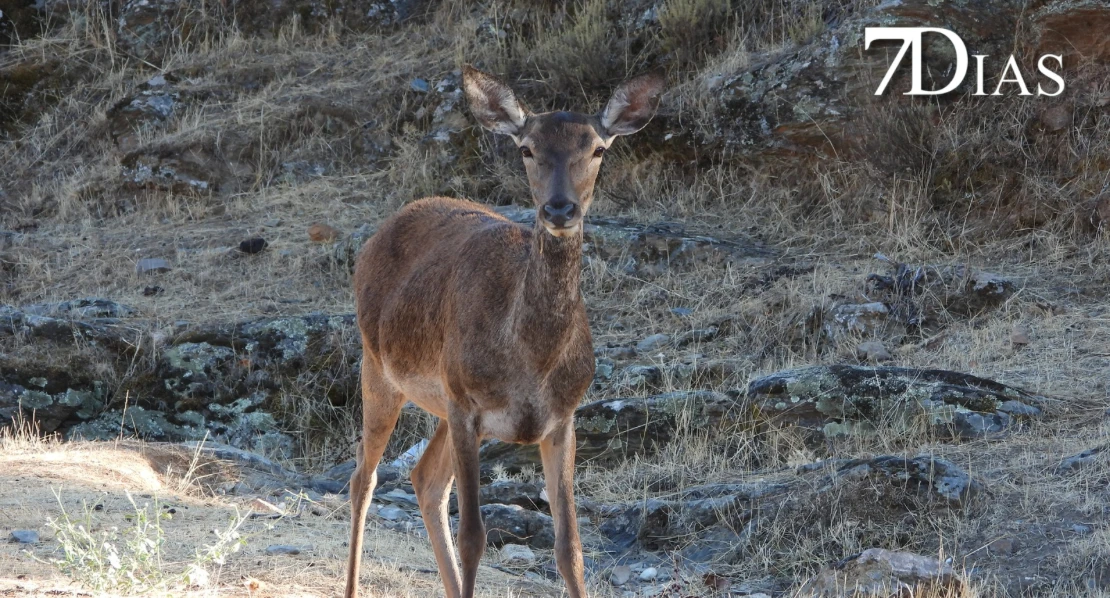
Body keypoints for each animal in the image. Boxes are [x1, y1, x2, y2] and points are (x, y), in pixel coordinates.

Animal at [344, 65, 663, 598]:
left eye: (598, 148)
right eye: (527, 148)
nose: (560, 209)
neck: (531, 362)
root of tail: (379, 234)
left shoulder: (563, 417)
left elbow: (570, 548)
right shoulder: (467, 405)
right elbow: (474, 535)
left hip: (442, 402)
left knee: (425, 479)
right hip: (382, 366)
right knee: (363, 480)